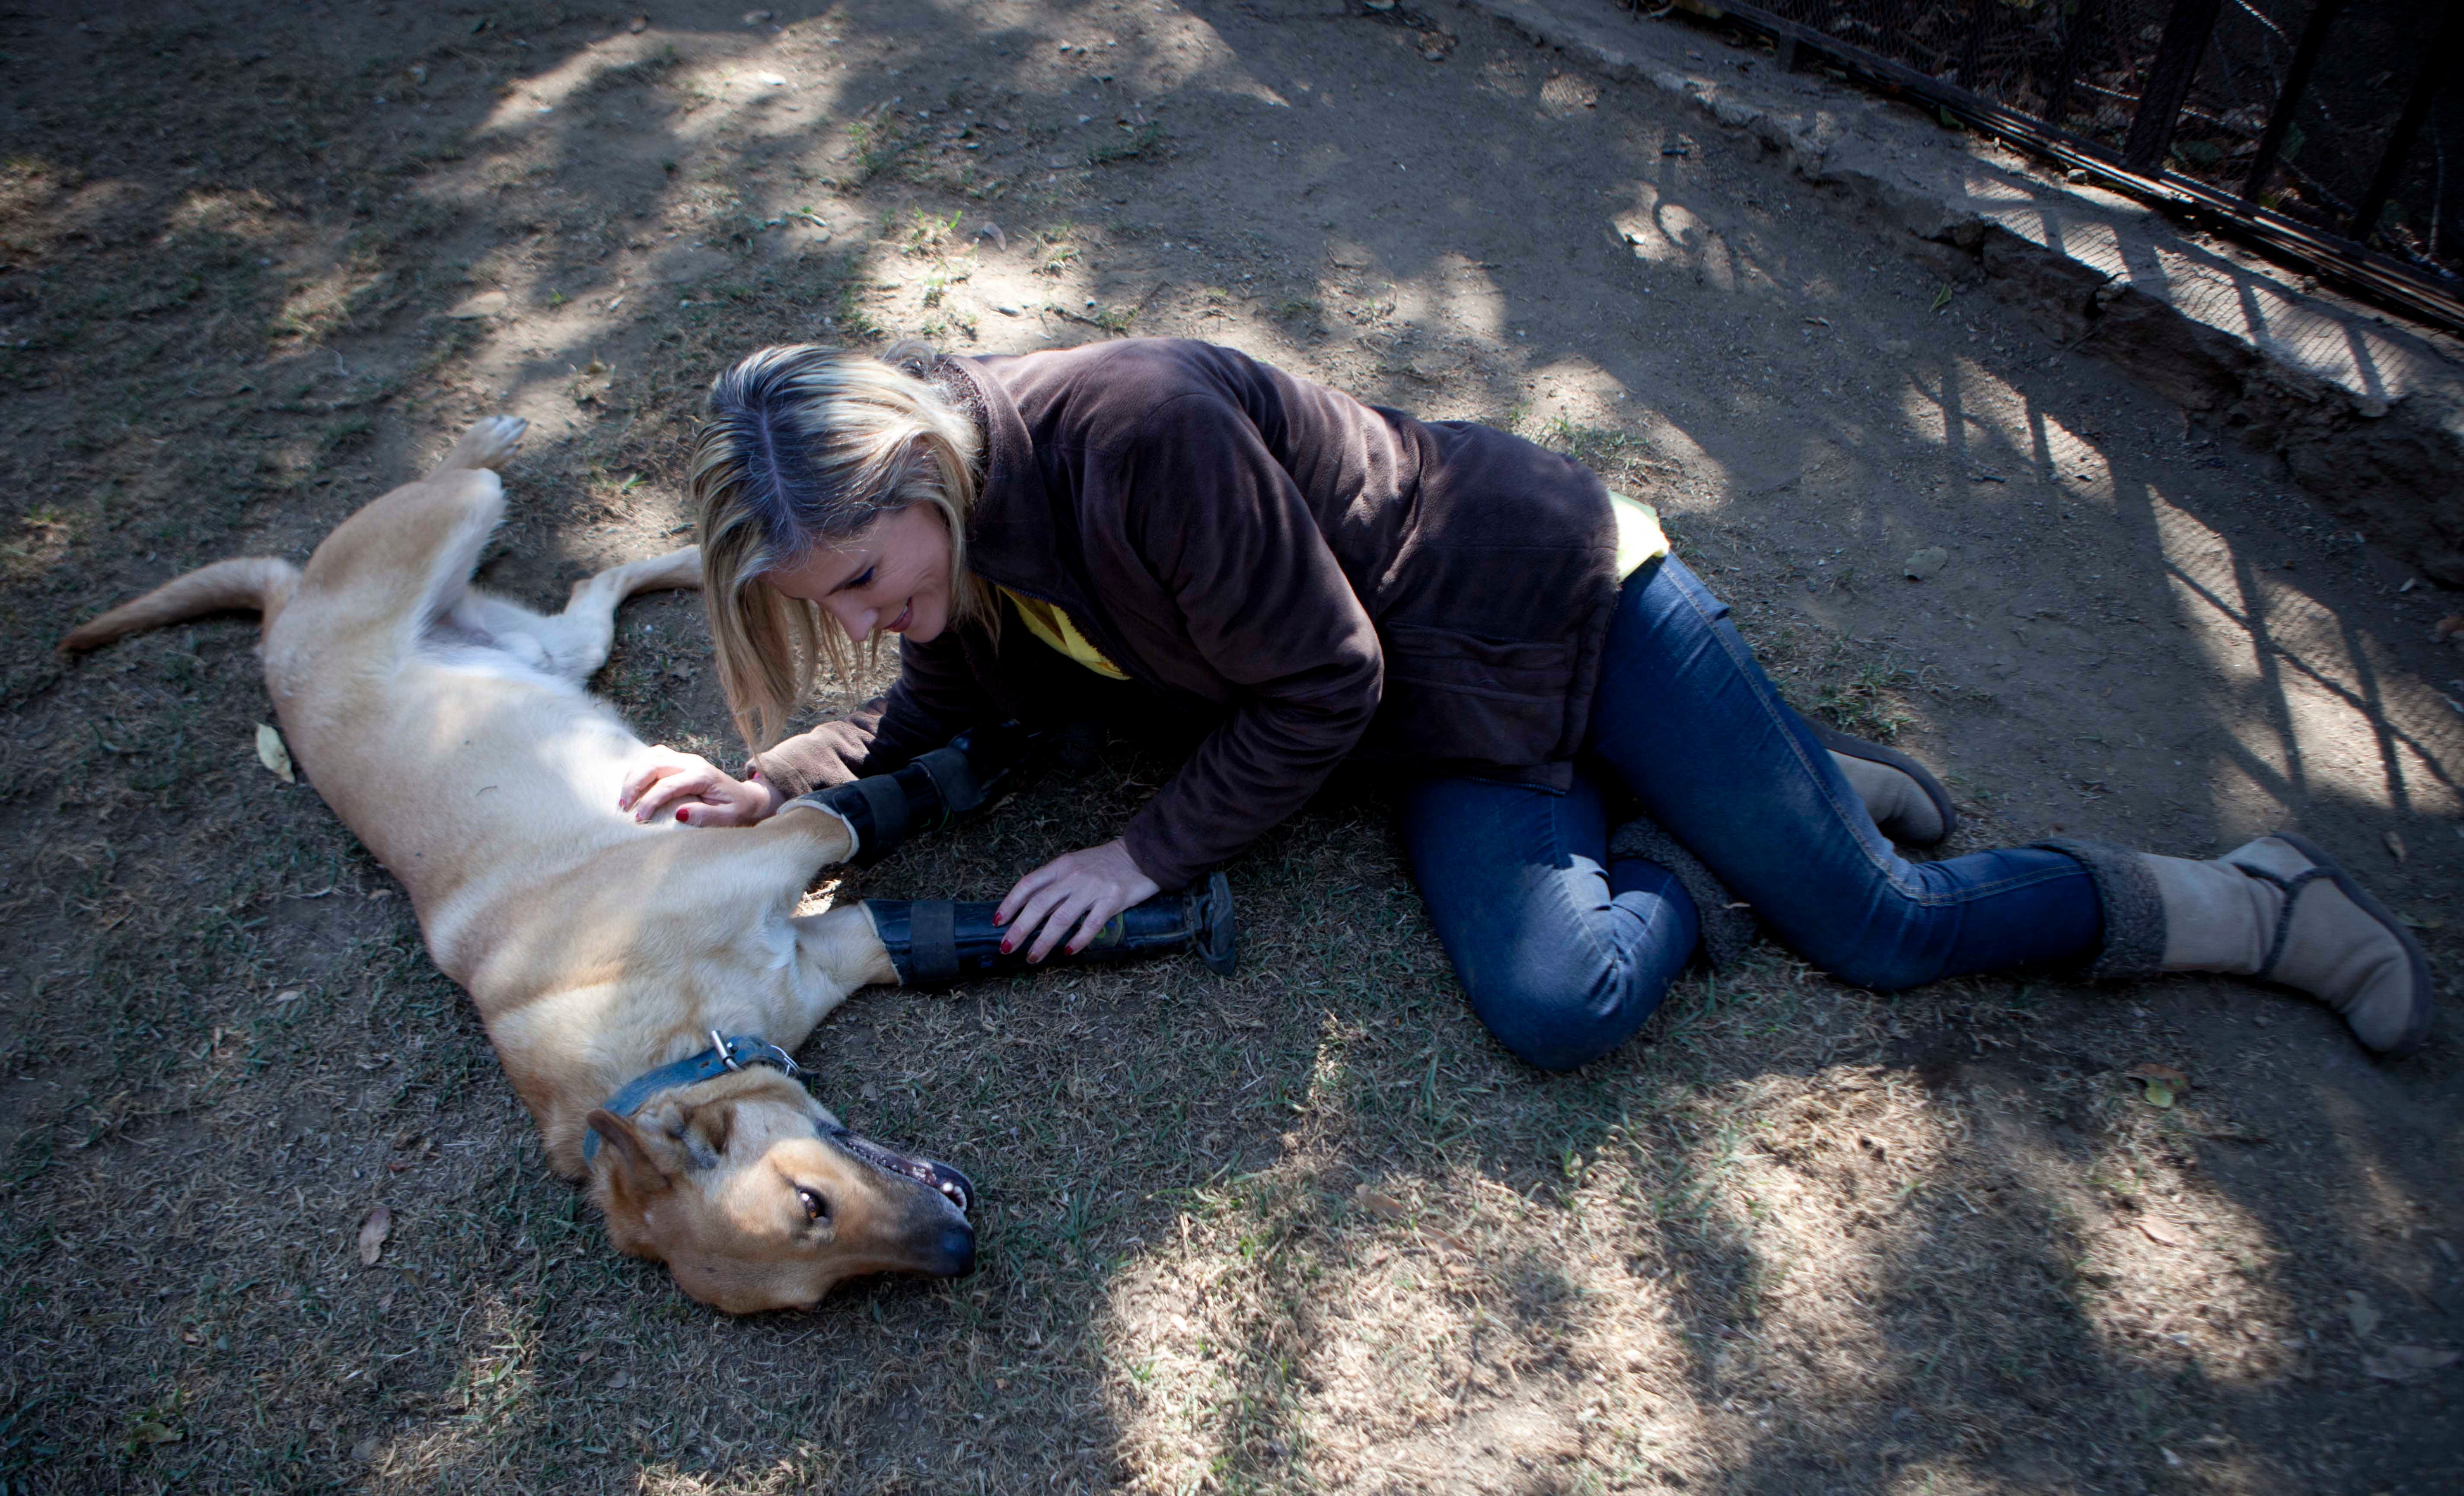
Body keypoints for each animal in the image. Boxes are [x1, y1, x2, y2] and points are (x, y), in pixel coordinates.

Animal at [57, 419, 971, 1311]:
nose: (960, 1248)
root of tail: (283, 616)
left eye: (811, 1201)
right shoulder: (832, 943)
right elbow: (896, 904)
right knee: (600, 581)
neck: (680, 1039)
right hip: (557, 645)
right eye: (818, 1260)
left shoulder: (778, 845)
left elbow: (834, 818)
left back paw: (504, 447)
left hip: (455, 521)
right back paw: (685, 557)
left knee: (471, 485)